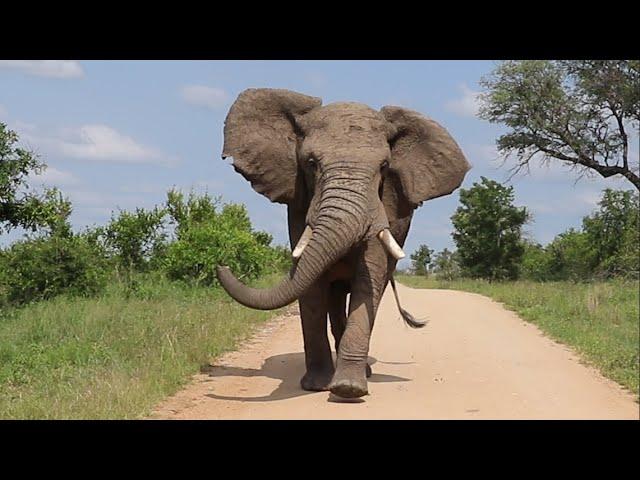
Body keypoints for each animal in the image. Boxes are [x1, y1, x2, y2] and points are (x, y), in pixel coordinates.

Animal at [215, 88, 470, 400]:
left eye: (384, 166)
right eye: (311, 163)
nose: (222, 263)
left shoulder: (383, 206)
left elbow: (369, 278)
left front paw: (349, 389)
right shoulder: (299, 202)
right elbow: (310, 286)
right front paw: (316, 385)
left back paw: (364, 373)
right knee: (334, 296)